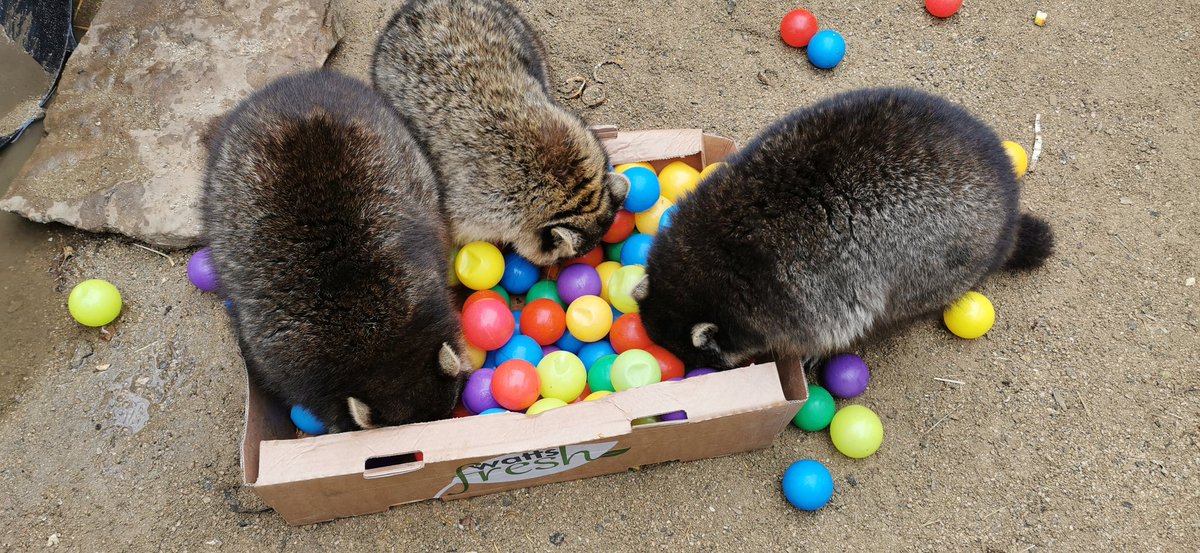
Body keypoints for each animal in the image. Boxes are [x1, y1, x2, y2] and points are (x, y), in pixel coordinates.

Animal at [634, 87, 1054, 370]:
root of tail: (1008, 210)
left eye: (704, 361)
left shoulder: (806, 295)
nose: (693, 373)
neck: (715, 252)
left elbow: (836, 325)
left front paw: (814, 350)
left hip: (937, 265)